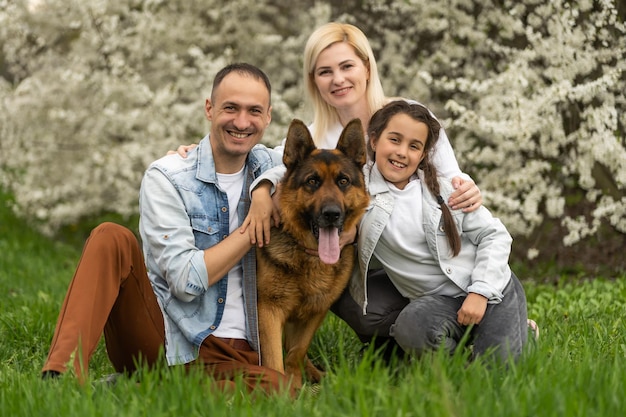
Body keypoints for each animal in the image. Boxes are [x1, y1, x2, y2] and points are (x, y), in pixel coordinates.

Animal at [256, 117, 368, 386]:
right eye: (312, 181)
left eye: (343, 181)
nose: (331, 214)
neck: (308, 254)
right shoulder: (268, 311)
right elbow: (274, 358)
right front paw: (283, 388)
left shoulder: (316, 309)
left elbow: (296, 351)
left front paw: (296, 381)